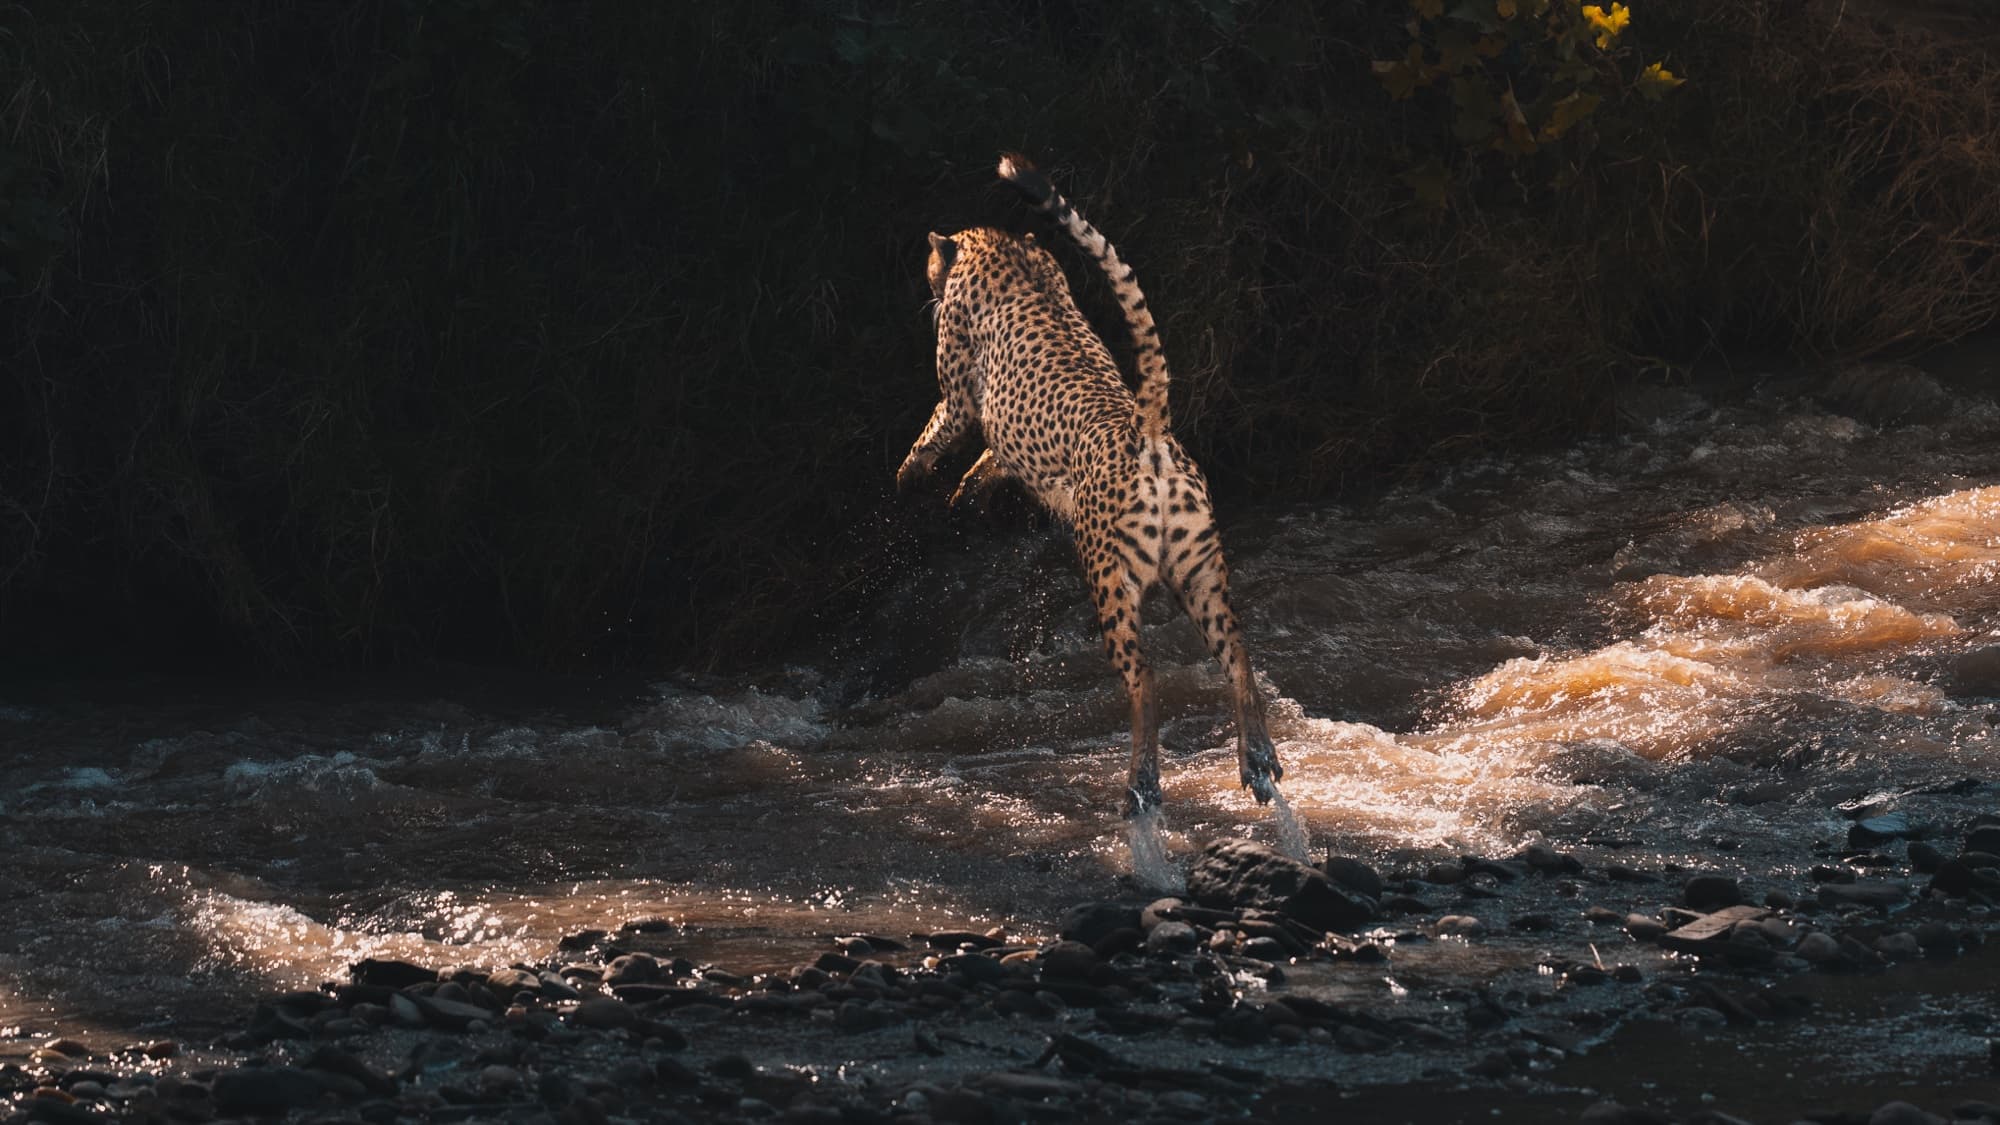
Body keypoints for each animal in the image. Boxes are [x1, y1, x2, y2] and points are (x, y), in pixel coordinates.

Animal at [896, 153, 1282, 818]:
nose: (926, 279)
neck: (1005, 250)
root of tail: (1146, 429)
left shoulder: (960, 394)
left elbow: (935, 434)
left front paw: (910, 480)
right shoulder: (1003, 436)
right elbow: (991, 461)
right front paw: (963, 492)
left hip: (1110, 577)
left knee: (1145, 676)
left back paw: (1141, 784)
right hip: (1201, 573)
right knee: (1237, 653)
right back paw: (1257, 760)